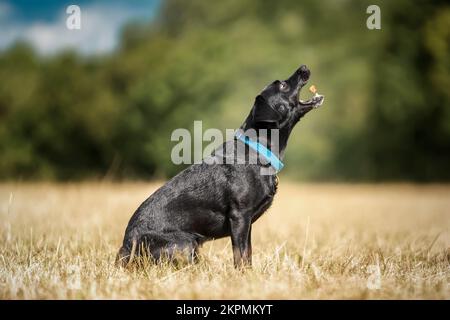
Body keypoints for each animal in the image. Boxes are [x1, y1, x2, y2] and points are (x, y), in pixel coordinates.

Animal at [117, 65, 324, 268]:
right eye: (282, 85)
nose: (303, 67)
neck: (257, 150)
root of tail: (125, 249)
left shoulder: (247, 223)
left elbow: (248, 254)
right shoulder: (239, 216)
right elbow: (240, 255)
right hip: (185, 244)